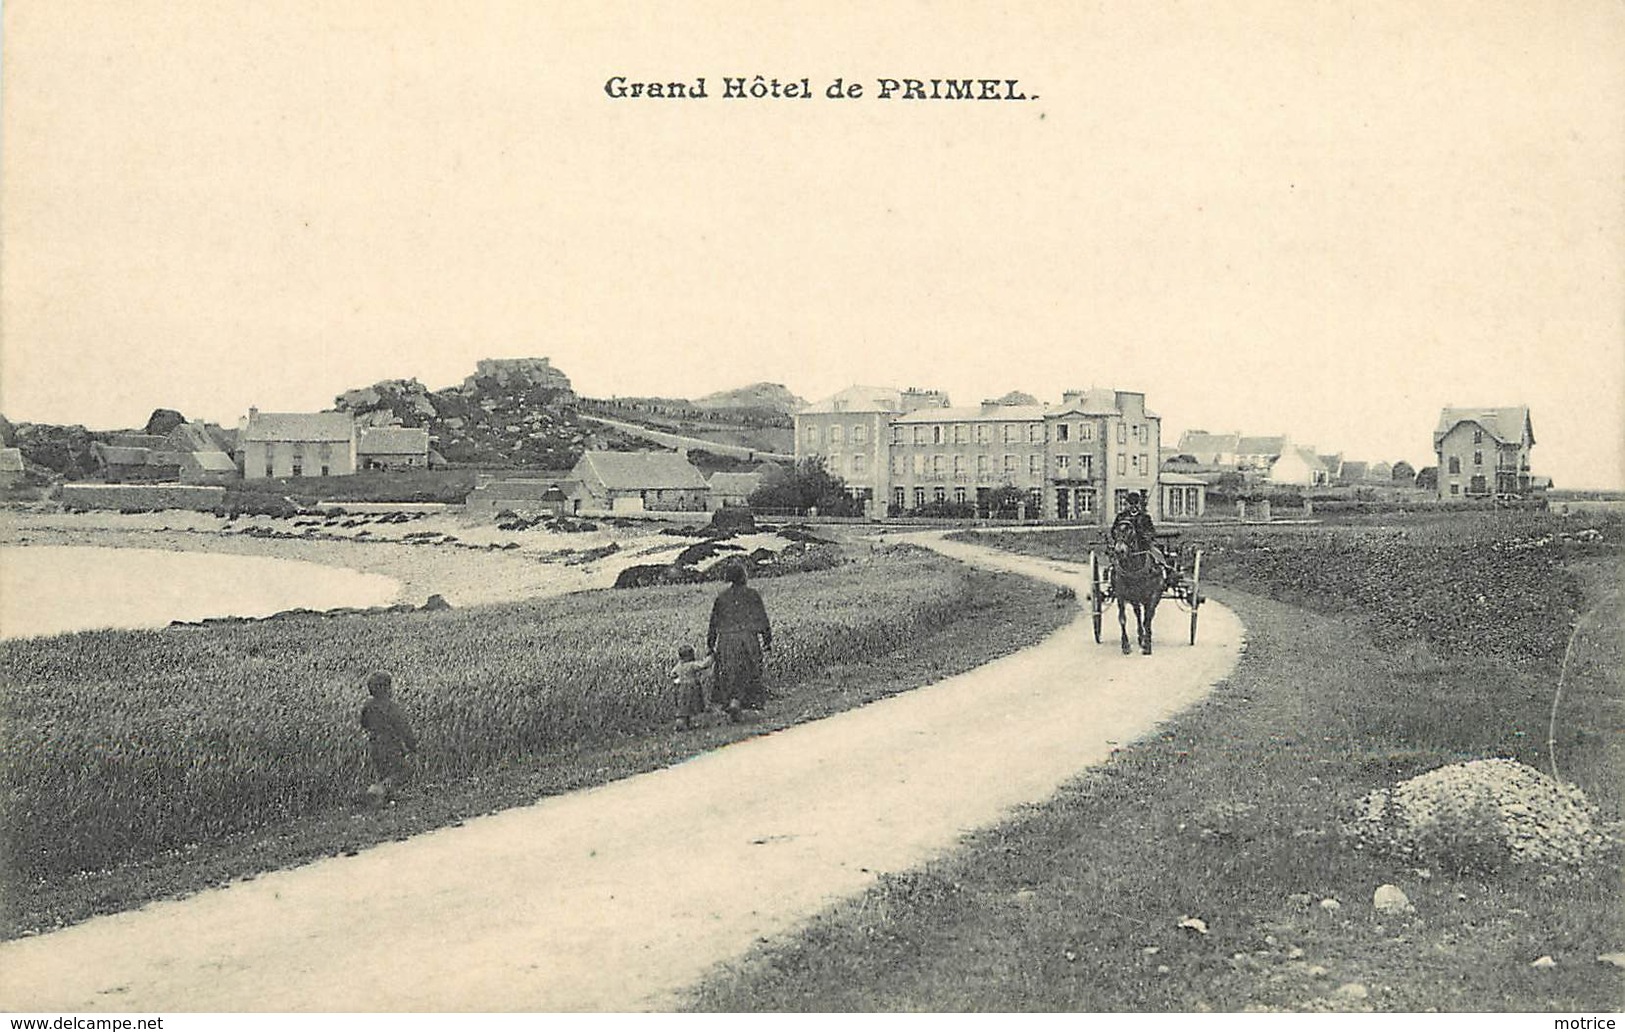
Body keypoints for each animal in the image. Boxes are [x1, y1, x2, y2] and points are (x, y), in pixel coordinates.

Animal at [1111, 520, 1163, 656]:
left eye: (1131, 532)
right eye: (1115, 532)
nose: (1119, 551)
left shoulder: (1153, 595)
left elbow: (1148, 619)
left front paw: (1147, 645)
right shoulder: (1120, 595)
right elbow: (1122, 619)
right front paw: (1125, 646)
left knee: (1146, 616)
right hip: (1135, 598)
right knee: (1138, 613)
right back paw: (1140, 637)